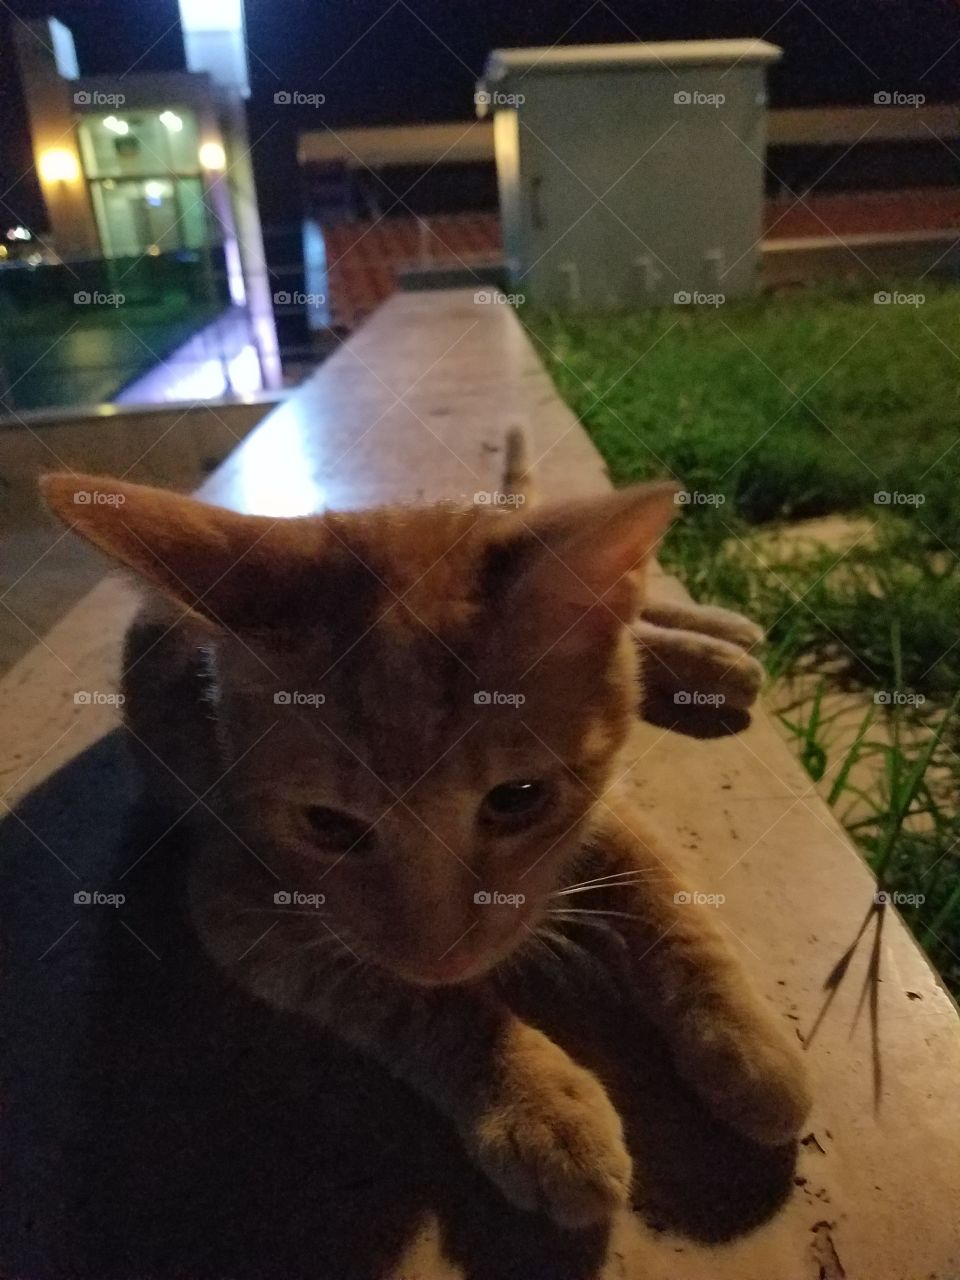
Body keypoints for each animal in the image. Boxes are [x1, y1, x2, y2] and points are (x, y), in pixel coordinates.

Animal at [43, 473, 814, 1228]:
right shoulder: (240, 912)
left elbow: (665, 896)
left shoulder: (600, 809)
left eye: (517, 798)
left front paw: (744, 1036)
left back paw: (716, 644)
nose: (444, 957)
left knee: (629, 613)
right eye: (327, 825)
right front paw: (534, 1098)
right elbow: (416, 1003)